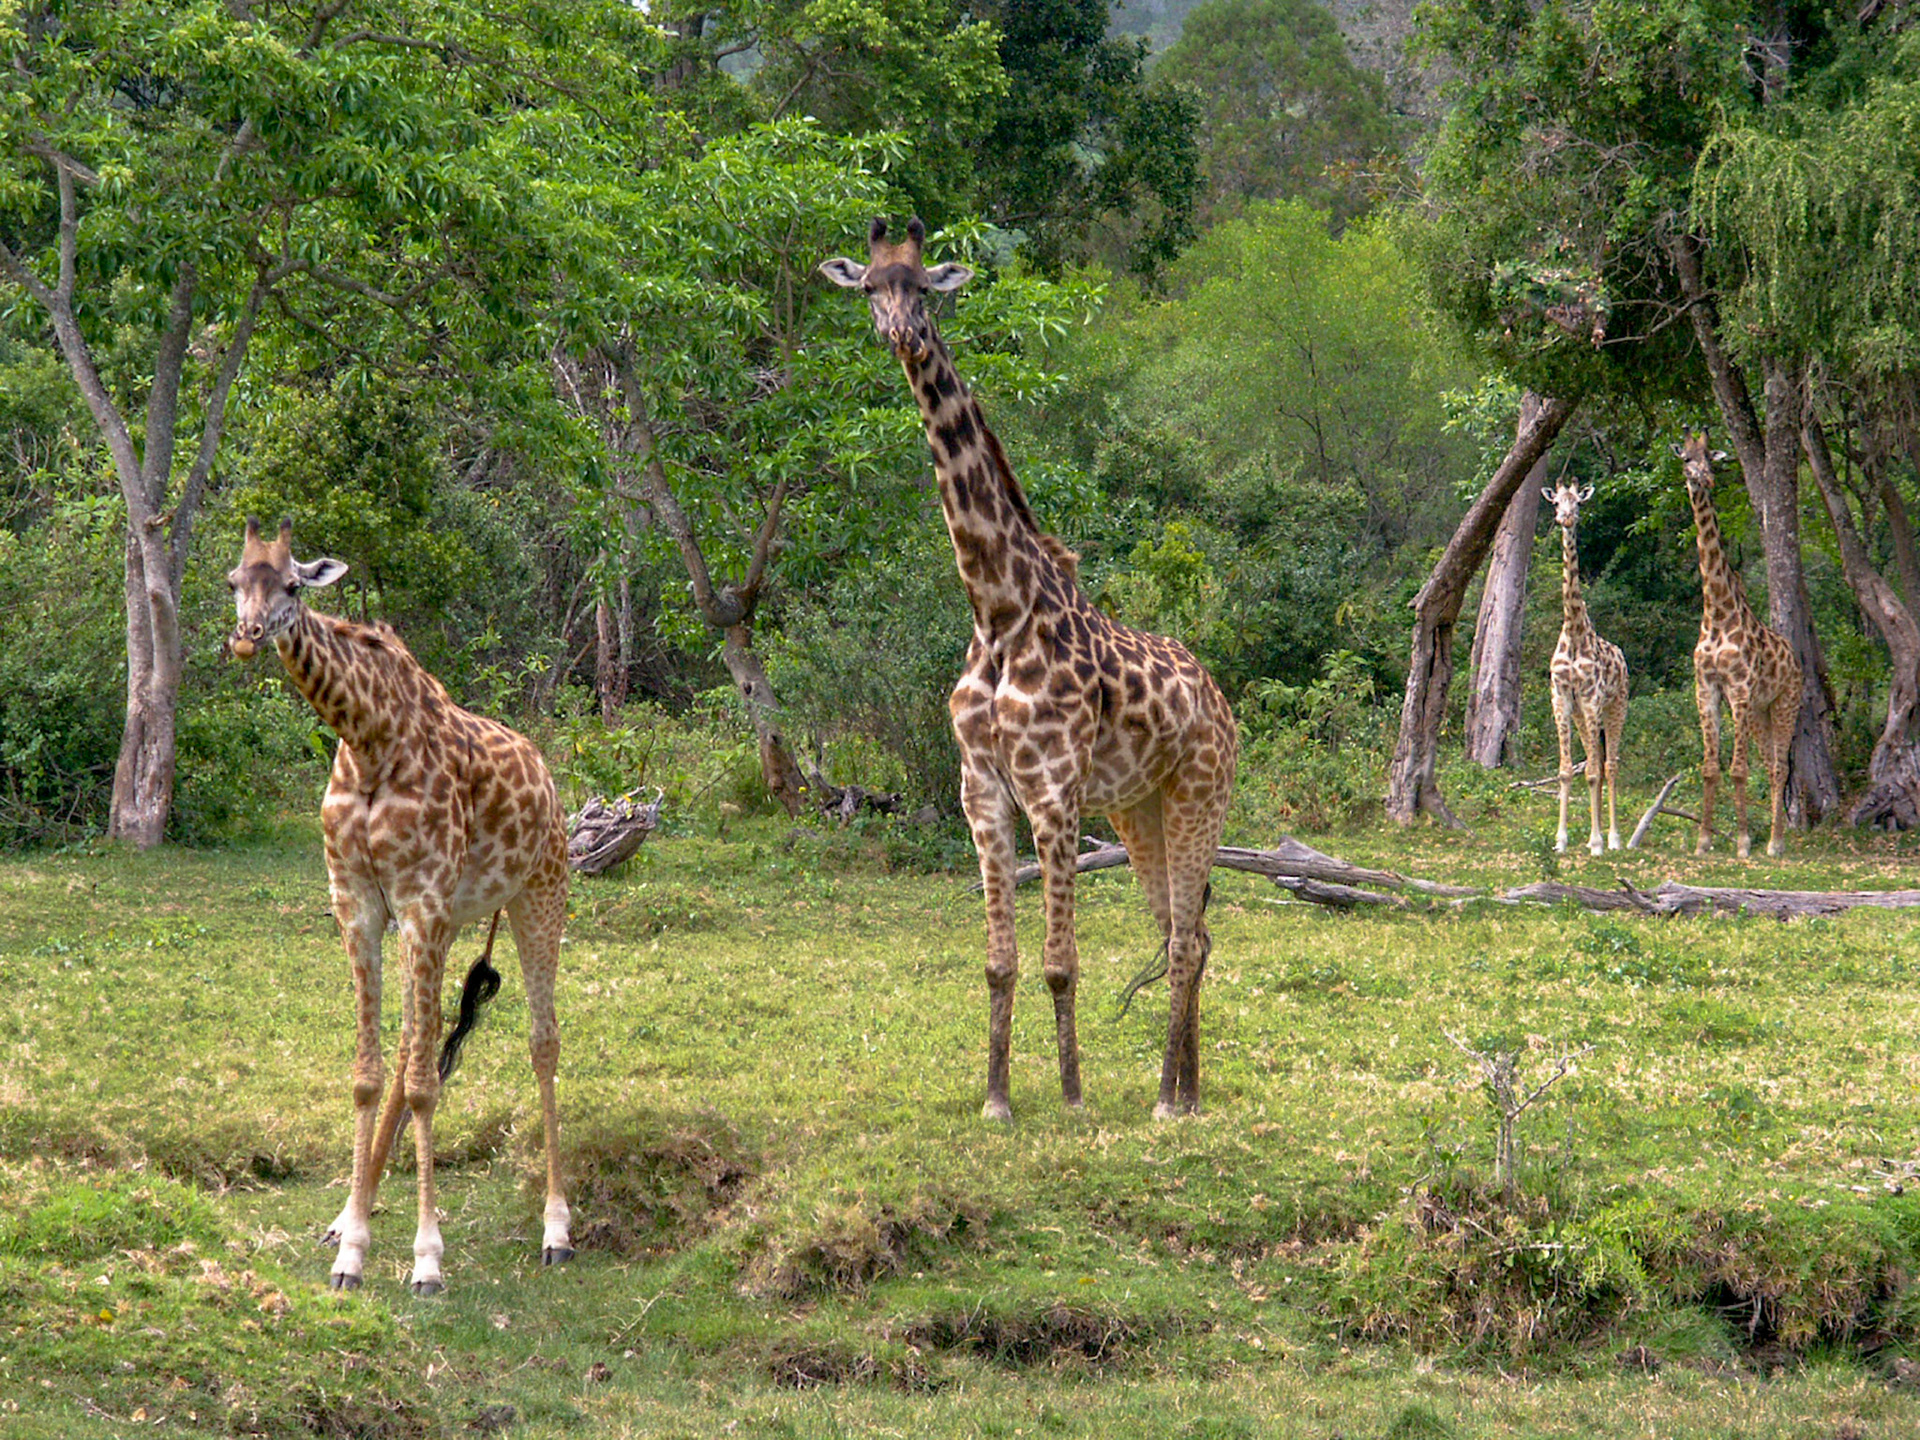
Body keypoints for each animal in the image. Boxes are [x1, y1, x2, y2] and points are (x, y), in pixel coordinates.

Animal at [227, 518, 572, 1294]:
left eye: (292, 584)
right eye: (234, 580)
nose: (246, 637)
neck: (367, 738)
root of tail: (546, 772)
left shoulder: (421, 899)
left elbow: (419, 1086)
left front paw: (427, 1259)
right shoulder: (358, 903)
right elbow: (370, 1074)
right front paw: (352, 1245)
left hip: (539, 894)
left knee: (541, 1042)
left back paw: (557, 1229)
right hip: (453, 918)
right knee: (424, 1039)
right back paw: (348, 1215)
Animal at [821, 218, 1238, 1121]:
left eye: (925, 287)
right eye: (868, 287)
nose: (902, 335)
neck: (996, 611)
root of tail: (1222, 701)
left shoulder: (1051, 788)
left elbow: (1058, 962)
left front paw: (1073, 1097)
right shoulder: (980, 788)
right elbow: (998, 962)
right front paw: (997, 1099)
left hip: (1201, 794)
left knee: (1186, 940)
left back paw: (1167, 1101)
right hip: (1139, 810)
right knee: (1184, 931)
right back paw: (1186, 1090)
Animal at [1677, 433, 1802, 858]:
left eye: (1710, 458)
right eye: (1686, 458)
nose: (1705, 480)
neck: (1717, 610)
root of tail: (1796, 659)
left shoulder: (1740, 689)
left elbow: (1737, 769)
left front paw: (1744, 842)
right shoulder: (1706, 688)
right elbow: (1710, 768)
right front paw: (1703, 842)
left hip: (1785, 703)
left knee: (1780, 767)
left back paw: (1776, 843)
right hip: (1763, 712)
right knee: (1773, 765)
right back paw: (1776, 838)